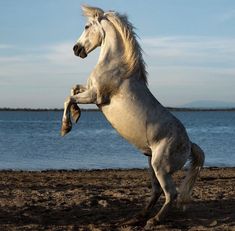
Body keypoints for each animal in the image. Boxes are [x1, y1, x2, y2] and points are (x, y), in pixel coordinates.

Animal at [61, 4, 205, 227]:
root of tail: (189, 145)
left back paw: (153, 220)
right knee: (156, 191)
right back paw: (136, 217)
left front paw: (66, 127)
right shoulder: (89, 90)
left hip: (160, 167)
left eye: (86, 26)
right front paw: (76, 115)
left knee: (171, 194)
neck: (116, 66)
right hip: (151, 165)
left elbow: (69, 98)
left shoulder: (96, 96)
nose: (76, 49)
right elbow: (73, 89)